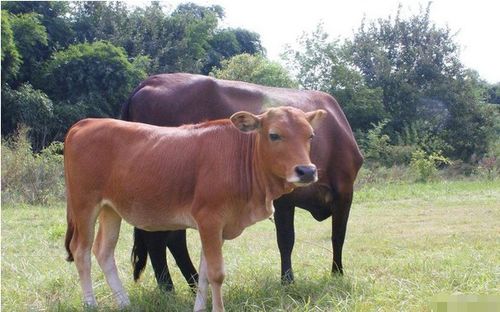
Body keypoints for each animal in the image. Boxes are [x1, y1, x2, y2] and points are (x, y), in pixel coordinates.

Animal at [64, 106, 326, 310]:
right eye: (274, 135)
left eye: (311, 136)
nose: (307, 171)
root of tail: (85, 123)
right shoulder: (210, 219)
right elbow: (216, 274)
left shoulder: (216, 228)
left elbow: (205, 274)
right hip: (84, 205)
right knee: (81, 251)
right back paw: (90, 303)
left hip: (111, 209)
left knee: (103, 251)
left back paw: (124, 302)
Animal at [122, 73, 362, 288]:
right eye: (273, 135)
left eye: (311, 135)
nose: (307, 171)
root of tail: (151, 80)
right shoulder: (343, 192)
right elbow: (329, 236)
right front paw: (333, 275)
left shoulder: (292, 199)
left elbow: (294, 239)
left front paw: (290, 280)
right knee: (158, 239)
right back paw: (169, 288)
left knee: (172, 239)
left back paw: (194, 284)